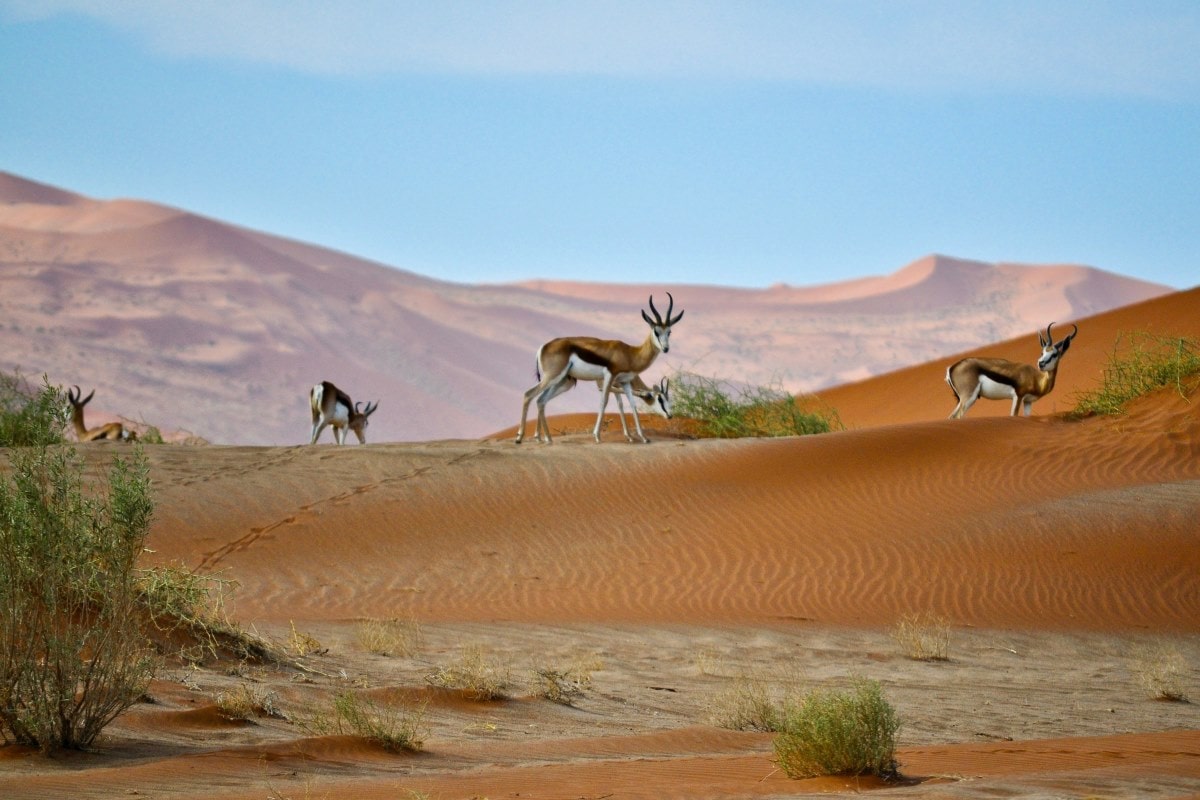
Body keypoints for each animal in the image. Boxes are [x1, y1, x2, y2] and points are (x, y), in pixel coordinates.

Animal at [516, 293, 684, 444]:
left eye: (669, 332)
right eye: (656, 331)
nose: (666, 348)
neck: (630, 353)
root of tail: (543, 346)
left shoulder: (625, 382)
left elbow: (632, 405)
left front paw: (643, 438)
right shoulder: (609, 377)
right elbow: (604, 401)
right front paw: (597, 436)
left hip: (561, 381)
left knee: (541, 400)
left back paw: (546, 439)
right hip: (552, 377)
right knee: (529, 394)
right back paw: (520, 437)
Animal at [946, 322, 1078, 418]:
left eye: (1054, 354)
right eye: (1043, 352)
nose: (1041, 363)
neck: (1036, 379)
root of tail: (952, 368)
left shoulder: (1028, 402)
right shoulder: (1018, 397)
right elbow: (1013, 416)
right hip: (969, 398)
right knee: (955, 417)